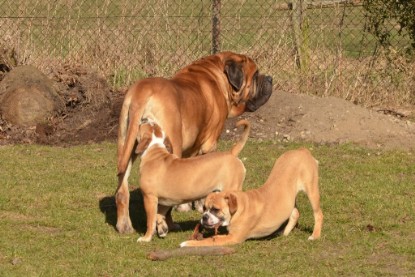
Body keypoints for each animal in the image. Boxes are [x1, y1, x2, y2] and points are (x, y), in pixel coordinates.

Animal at [116, 51, 272, 233]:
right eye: (256, 74)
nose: (270, 78)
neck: (216, 71)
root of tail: (143, 91)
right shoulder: (209, 145)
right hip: (171, 143)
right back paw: (168, 224)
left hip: (126, 146)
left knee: (122, 190)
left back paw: (124, 226)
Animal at [180, 148, 324, 247]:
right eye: (204, 208)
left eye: (215, 209)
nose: (204, 217)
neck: (239, 208)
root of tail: (302, 150)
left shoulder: (233, 238)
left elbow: (208, 241)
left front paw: (187, 243)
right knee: (295, 213)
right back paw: (284, 232)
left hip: (311, 190)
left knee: (318, 214)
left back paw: (315, 236)